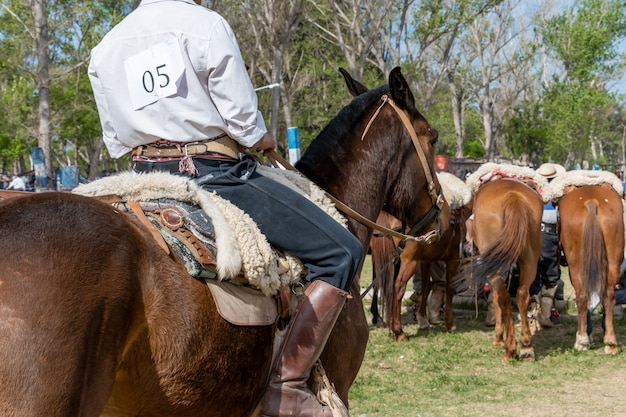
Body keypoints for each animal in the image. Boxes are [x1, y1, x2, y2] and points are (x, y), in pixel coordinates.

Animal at [466, 177, 544, 362]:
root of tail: (513, 196)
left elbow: (495, 299)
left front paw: (498, 337)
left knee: (504, 297)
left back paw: (510, 349)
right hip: (530, 260)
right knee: (522, 294)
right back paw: (526, 347)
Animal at [552, 184, 620, 352]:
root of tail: (591, 200)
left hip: (575, 265)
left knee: (582, 296)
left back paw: (581, 340)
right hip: (613, 261)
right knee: (609, 295)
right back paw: (610, 342)